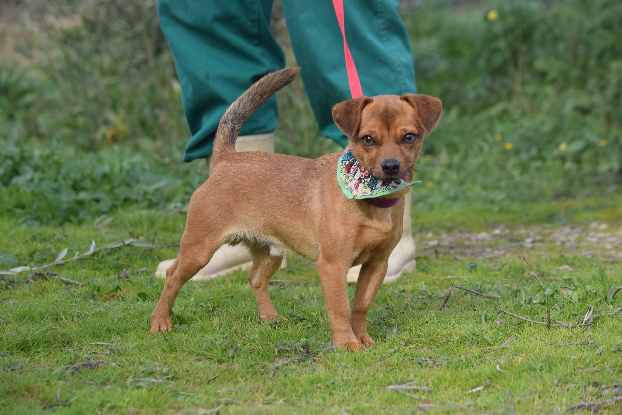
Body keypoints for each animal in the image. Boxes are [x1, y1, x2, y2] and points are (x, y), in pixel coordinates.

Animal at [151, 68, 442, 350]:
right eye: (368, 139)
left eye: (409, 137)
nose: (391, 166)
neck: (372, 197)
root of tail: (226, 158)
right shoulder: (333, 266)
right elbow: (341, 310)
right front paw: (347, 344)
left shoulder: (376, 265)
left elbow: (360, 306)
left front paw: (362, 338)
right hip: (198, 251)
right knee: (172, 276)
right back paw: (161, 322)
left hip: (271, 252)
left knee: (255, 278)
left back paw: (270, 318)